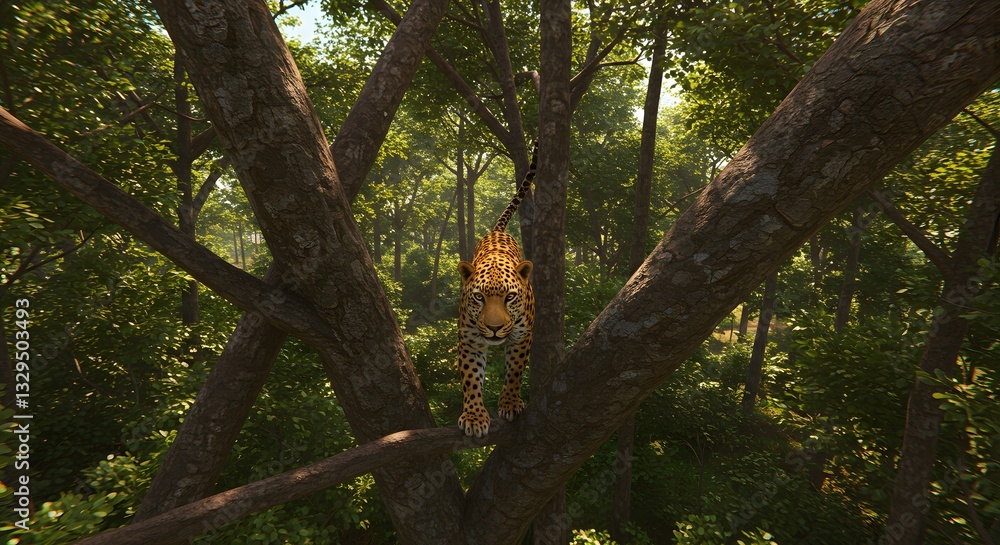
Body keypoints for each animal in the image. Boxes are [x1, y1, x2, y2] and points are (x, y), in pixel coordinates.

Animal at [456, 140, 537, 437]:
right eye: (479, 298)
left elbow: (514, 371)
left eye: (510, 297)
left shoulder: (522, 335)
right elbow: (471, 377)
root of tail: (497, 232)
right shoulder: (469, 338)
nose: (493, 328)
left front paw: (511, 403)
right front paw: (474, 416)